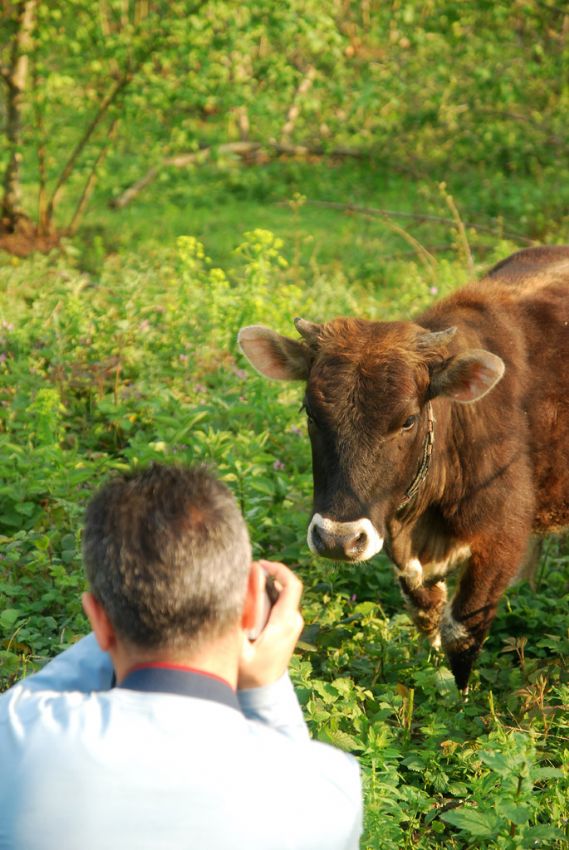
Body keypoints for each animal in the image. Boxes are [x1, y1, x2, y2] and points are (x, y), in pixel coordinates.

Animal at [237, 245, 568, 688]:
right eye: (310, 412)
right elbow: (426, 612)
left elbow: (462, 631)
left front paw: (459, 698)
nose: (338, 539)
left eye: (408, 420)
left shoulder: (501, 537)